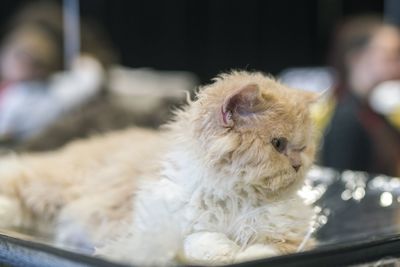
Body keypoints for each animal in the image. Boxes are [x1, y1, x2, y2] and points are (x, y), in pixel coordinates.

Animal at [0, 71, 318, 266]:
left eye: (303, 147)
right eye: (278, 144)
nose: (298, 165)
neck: (236, 197)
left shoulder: (291, 239)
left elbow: (262, 251)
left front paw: (241, 252)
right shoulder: (149, 233)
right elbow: (195, 239)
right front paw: (222, 249)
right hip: (49, 187)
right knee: (15, 179)